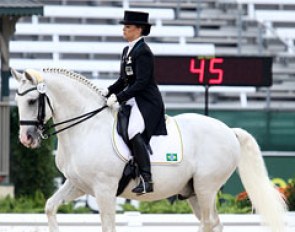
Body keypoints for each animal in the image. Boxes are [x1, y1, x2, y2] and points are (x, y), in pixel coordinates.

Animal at [12, 67, 288, 232]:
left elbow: (108, 226)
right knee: (215, 224)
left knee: (208, 223)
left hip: (206, 187)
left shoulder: (104, 189)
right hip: (194, 191)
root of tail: (229, 131)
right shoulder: (77, 184)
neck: (86, 127)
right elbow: (50, 206)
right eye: (17, 100)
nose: (26, 139)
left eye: (32, 101)